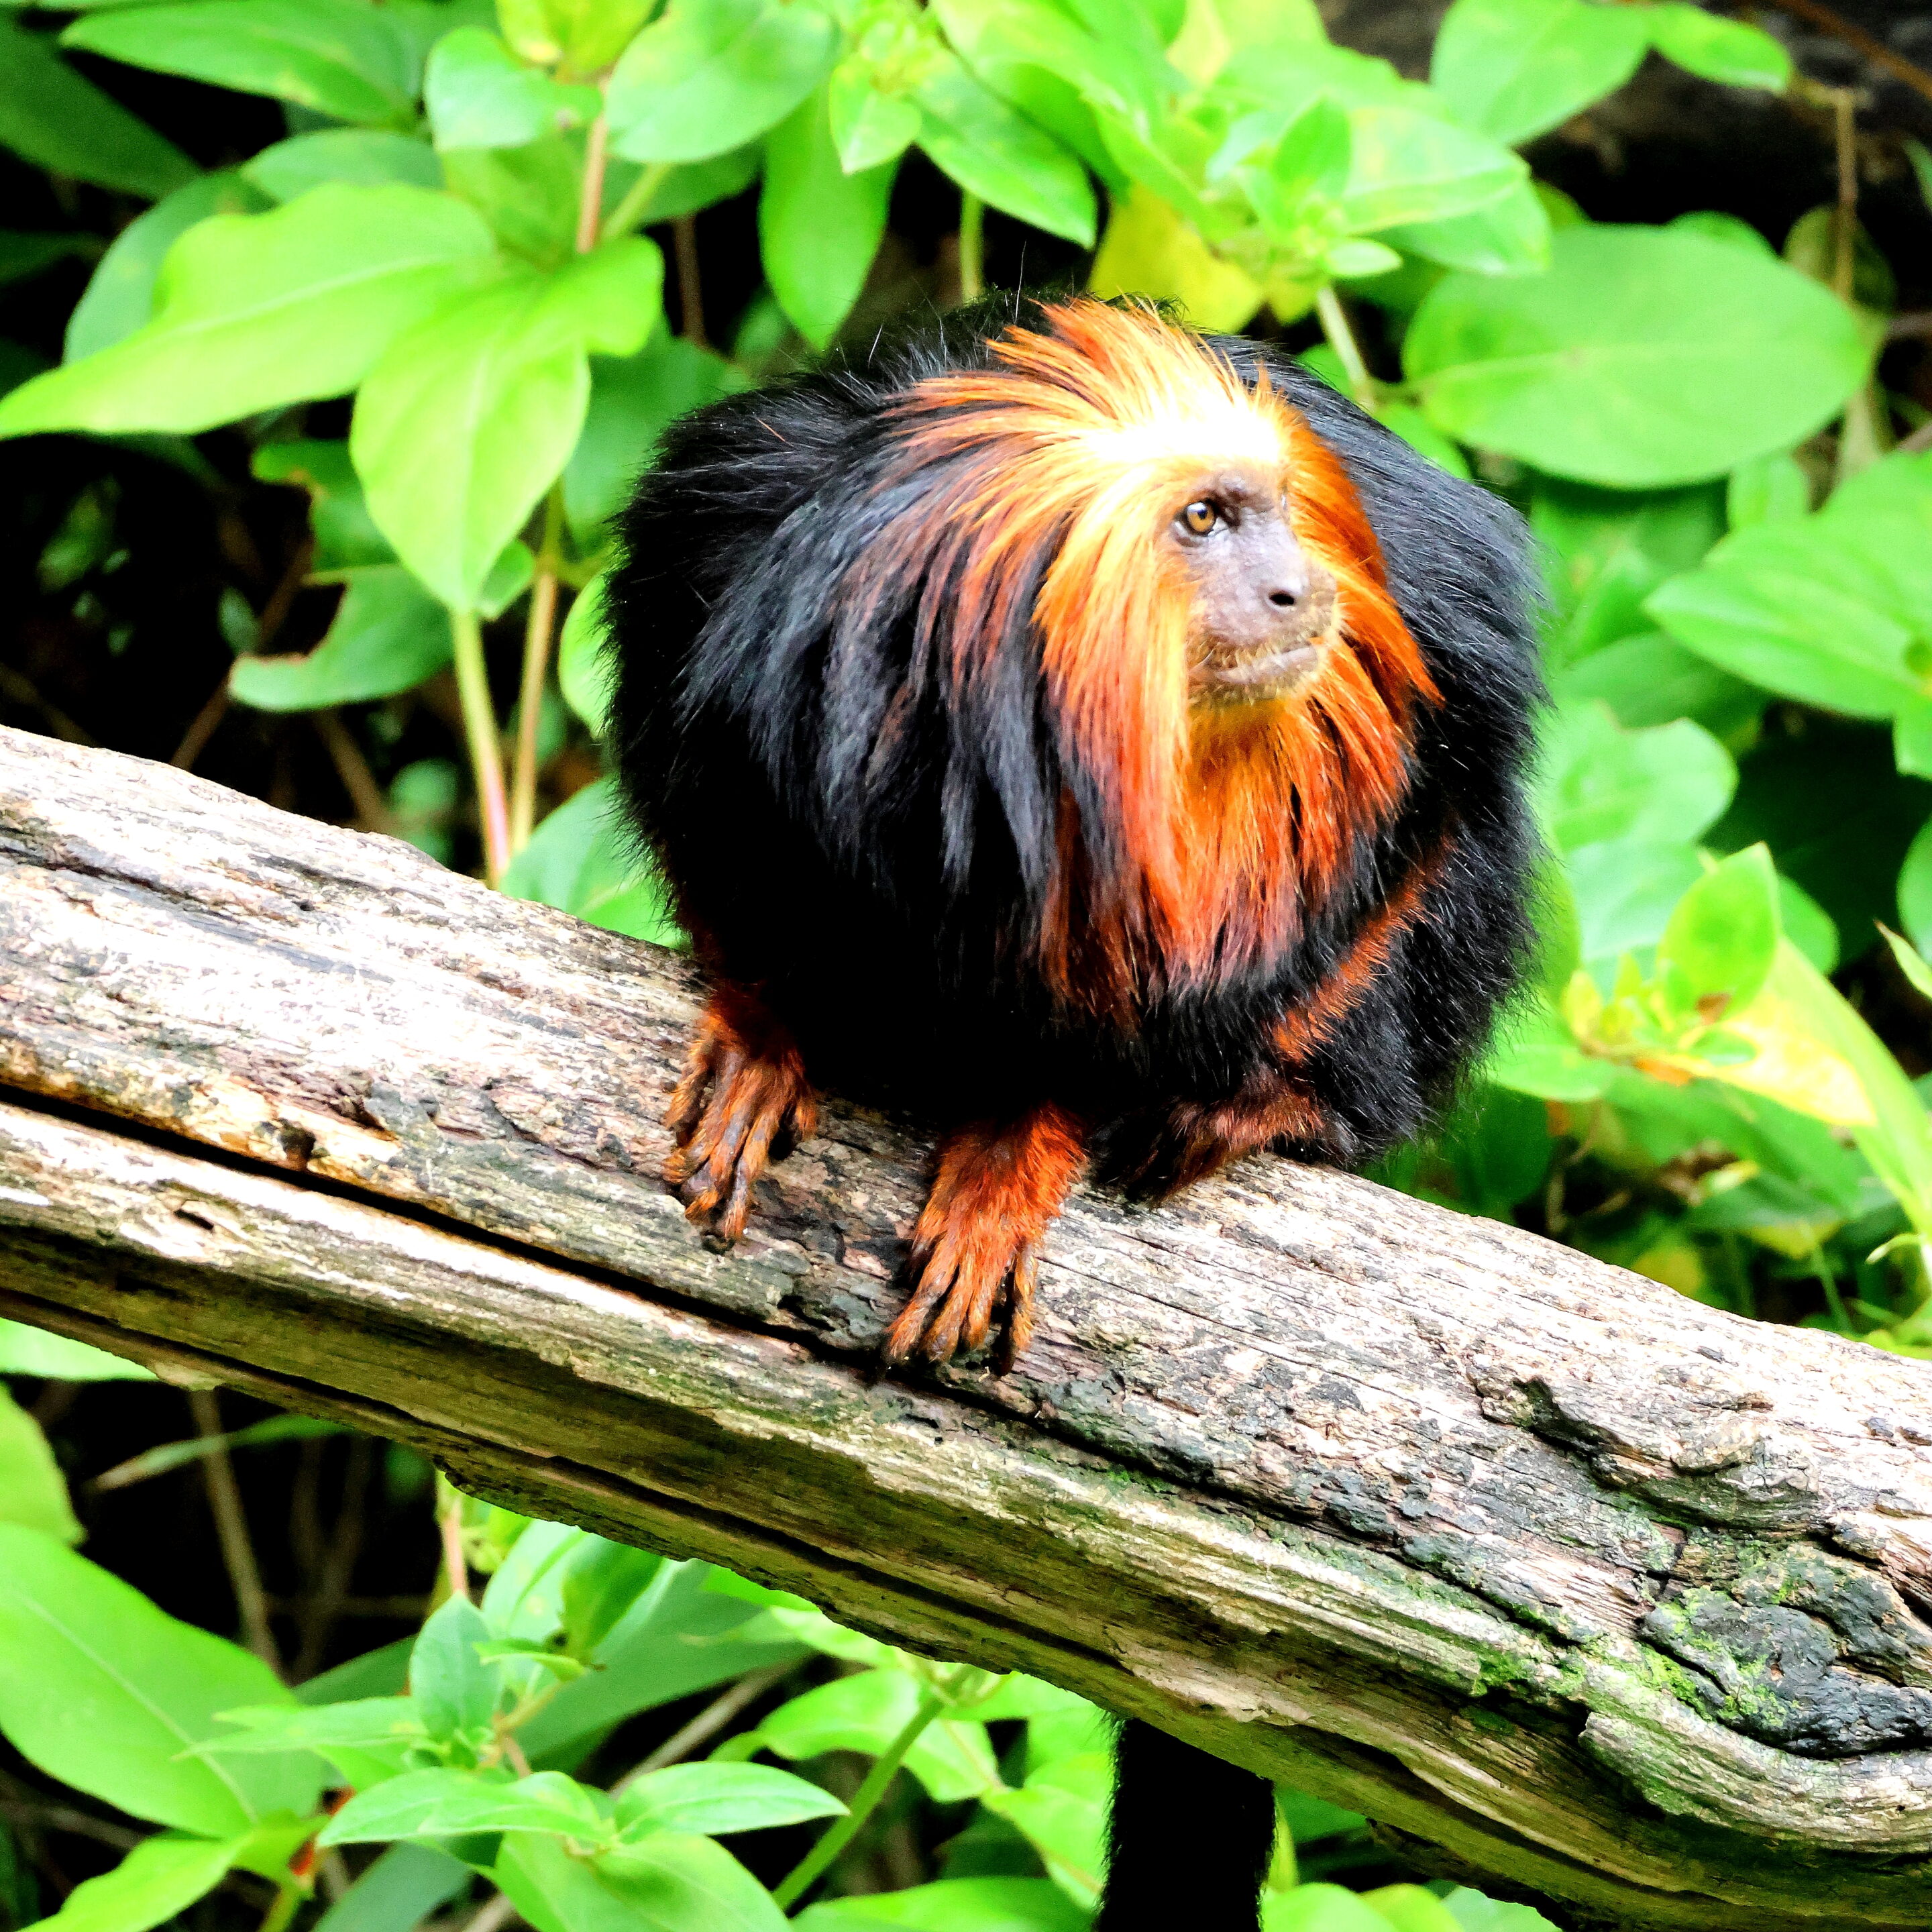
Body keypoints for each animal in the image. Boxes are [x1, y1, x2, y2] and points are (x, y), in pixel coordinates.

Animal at [604, 293, 1540, 1927]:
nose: (1297, 587)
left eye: (1271, 515)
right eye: (1203, 522)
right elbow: (710, 808)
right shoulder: (728, 593)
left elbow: (1435, 805)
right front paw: (766, 1022)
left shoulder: (1423, 606)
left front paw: (1042, 1138)